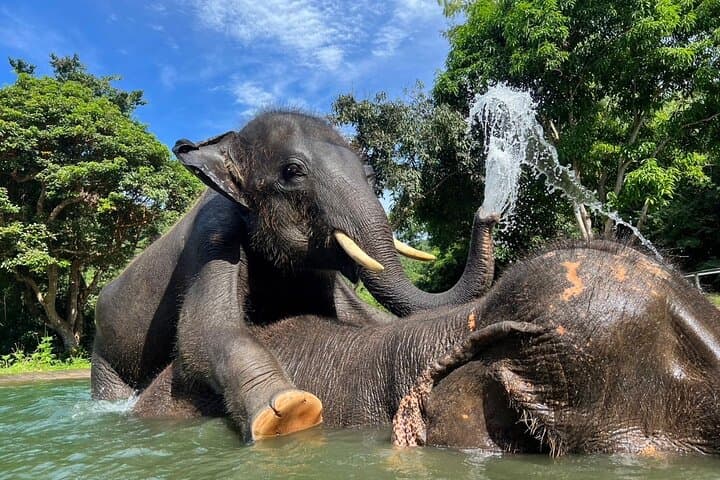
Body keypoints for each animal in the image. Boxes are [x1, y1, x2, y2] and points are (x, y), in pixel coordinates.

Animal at [91, 111, 498, 440]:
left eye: (369, 174)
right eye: (292, 172)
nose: (488, 211)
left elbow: (360, 319)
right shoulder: (213, 235)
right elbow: (201, 333)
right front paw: (289, 412)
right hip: (104, 350)